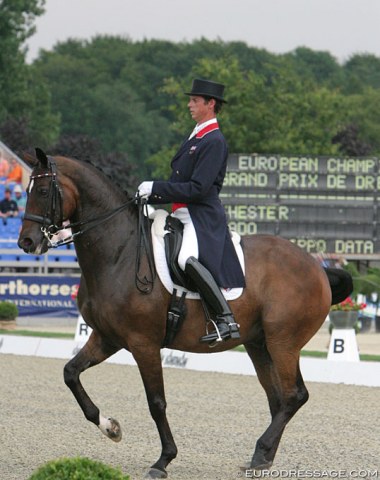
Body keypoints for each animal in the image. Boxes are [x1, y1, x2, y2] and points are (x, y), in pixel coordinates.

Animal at [17, 148, 350, 478]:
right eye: (27, 190)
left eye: (43, 191)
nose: (26, 242)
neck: (118, 252)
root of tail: (317, 267)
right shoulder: (106, 338)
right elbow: (71, 374)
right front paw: (111, 428)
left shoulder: (144, 343)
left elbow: (156, 402)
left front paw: (163, 460)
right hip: (259, 344)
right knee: (278, 398)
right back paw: (262, 458)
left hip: (284, 342)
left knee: (294, 395)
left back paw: (261, 450)